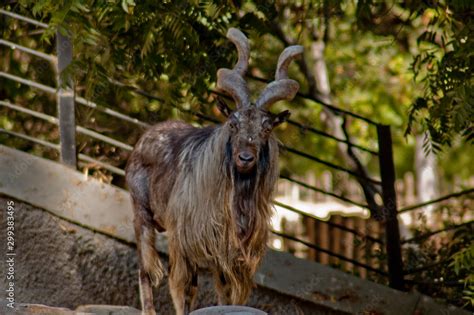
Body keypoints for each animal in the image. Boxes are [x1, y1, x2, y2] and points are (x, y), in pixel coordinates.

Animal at [127, 28, 300, 314]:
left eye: (266, 128)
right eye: (232, 123)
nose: (245, 158)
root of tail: (144, 139)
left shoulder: (227, 254)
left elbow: (223, 291)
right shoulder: (184, 241)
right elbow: (182, 288)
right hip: (142, 214)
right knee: (145, 267)